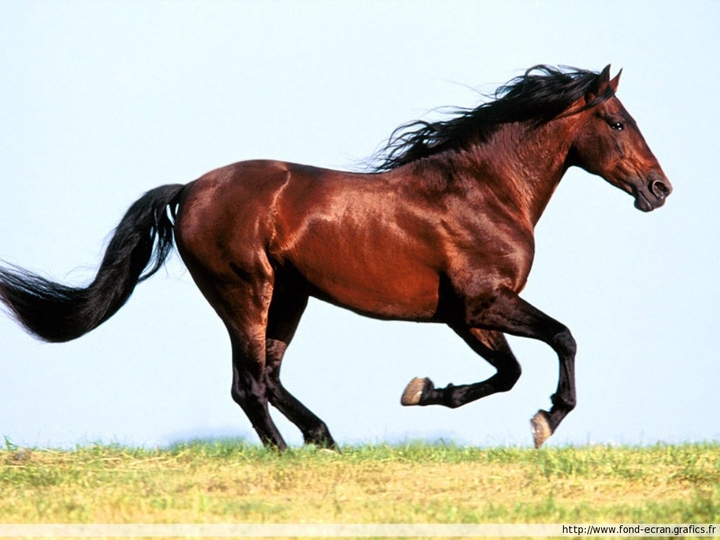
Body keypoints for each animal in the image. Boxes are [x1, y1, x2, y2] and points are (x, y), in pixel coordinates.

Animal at [0, 65, 672, 449]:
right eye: (617, 121)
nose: (659, 188)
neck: (483, 190)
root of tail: (189, 189)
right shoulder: (484, 302)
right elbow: (561, 339)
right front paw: (547, 420)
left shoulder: (465, 316)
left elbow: (508, 372)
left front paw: (423, 391)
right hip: (245, 292)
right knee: (248, 384)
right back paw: (289, 454)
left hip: (289, 297)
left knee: (269, 377)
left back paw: (324, 439)